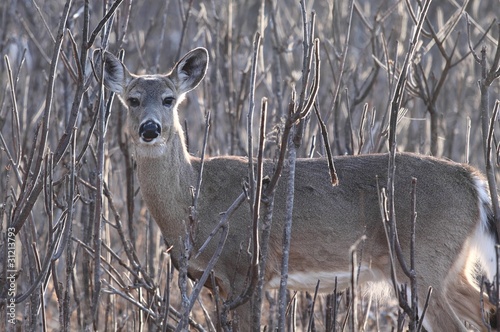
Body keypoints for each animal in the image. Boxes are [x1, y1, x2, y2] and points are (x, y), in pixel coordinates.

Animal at [95, 47, 498, 332]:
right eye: (132, 99)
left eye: (169, 99)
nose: (150, 128)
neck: (194, 198)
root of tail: (473, 181)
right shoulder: (212, 285)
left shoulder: (248, 269)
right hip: (450, 267)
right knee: (488, 311)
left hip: (423, 263)